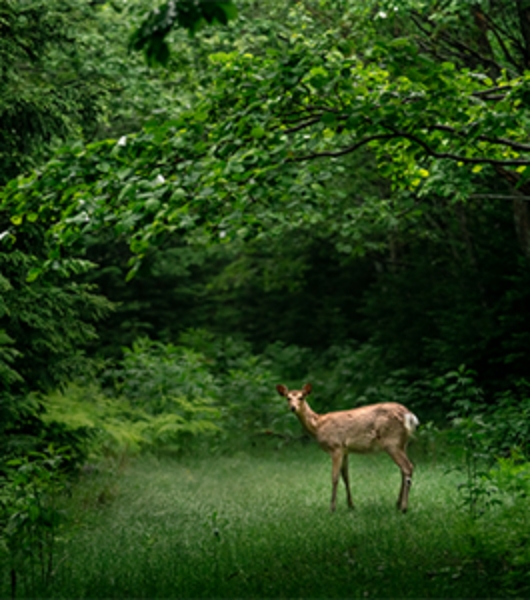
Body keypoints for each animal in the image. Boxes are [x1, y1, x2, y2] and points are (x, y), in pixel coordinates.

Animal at [274, 382, 418, 512]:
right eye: (288, 397)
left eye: (301, 397)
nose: (293, 408)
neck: (318, 425)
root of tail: (409, 416)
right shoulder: (345, 450)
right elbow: (346, 477)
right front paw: (351, 505)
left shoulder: (336, 447)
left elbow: (334, 477)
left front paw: (332, 508)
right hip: (402, 443)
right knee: (403, 470)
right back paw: (398, 504)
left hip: (391, 441)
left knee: (407, 467)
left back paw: (404, 507)